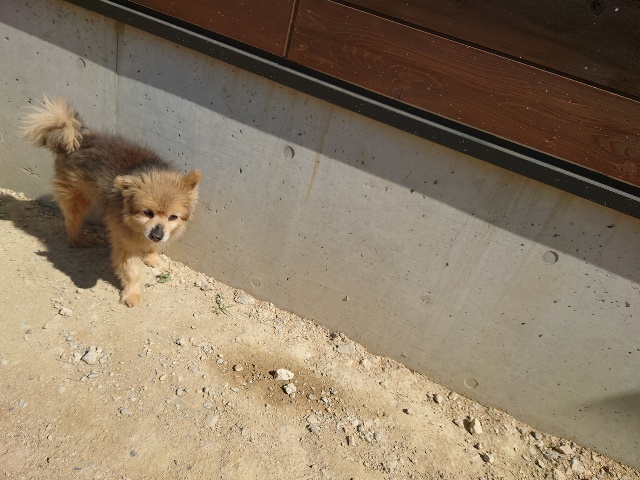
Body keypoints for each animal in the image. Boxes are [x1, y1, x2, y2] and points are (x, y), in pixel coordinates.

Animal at [21, 96, 201, 307]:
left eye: (173, 217)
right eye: (147, 212)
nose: (157, 235)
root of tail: (78, 141)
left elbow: (149, 248)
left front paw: (151, 256)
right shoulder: (124, 244)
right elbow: (132, 272)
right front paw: (132, 293)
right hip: (77, 199)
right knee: (72, 220)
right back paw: (77, 240)